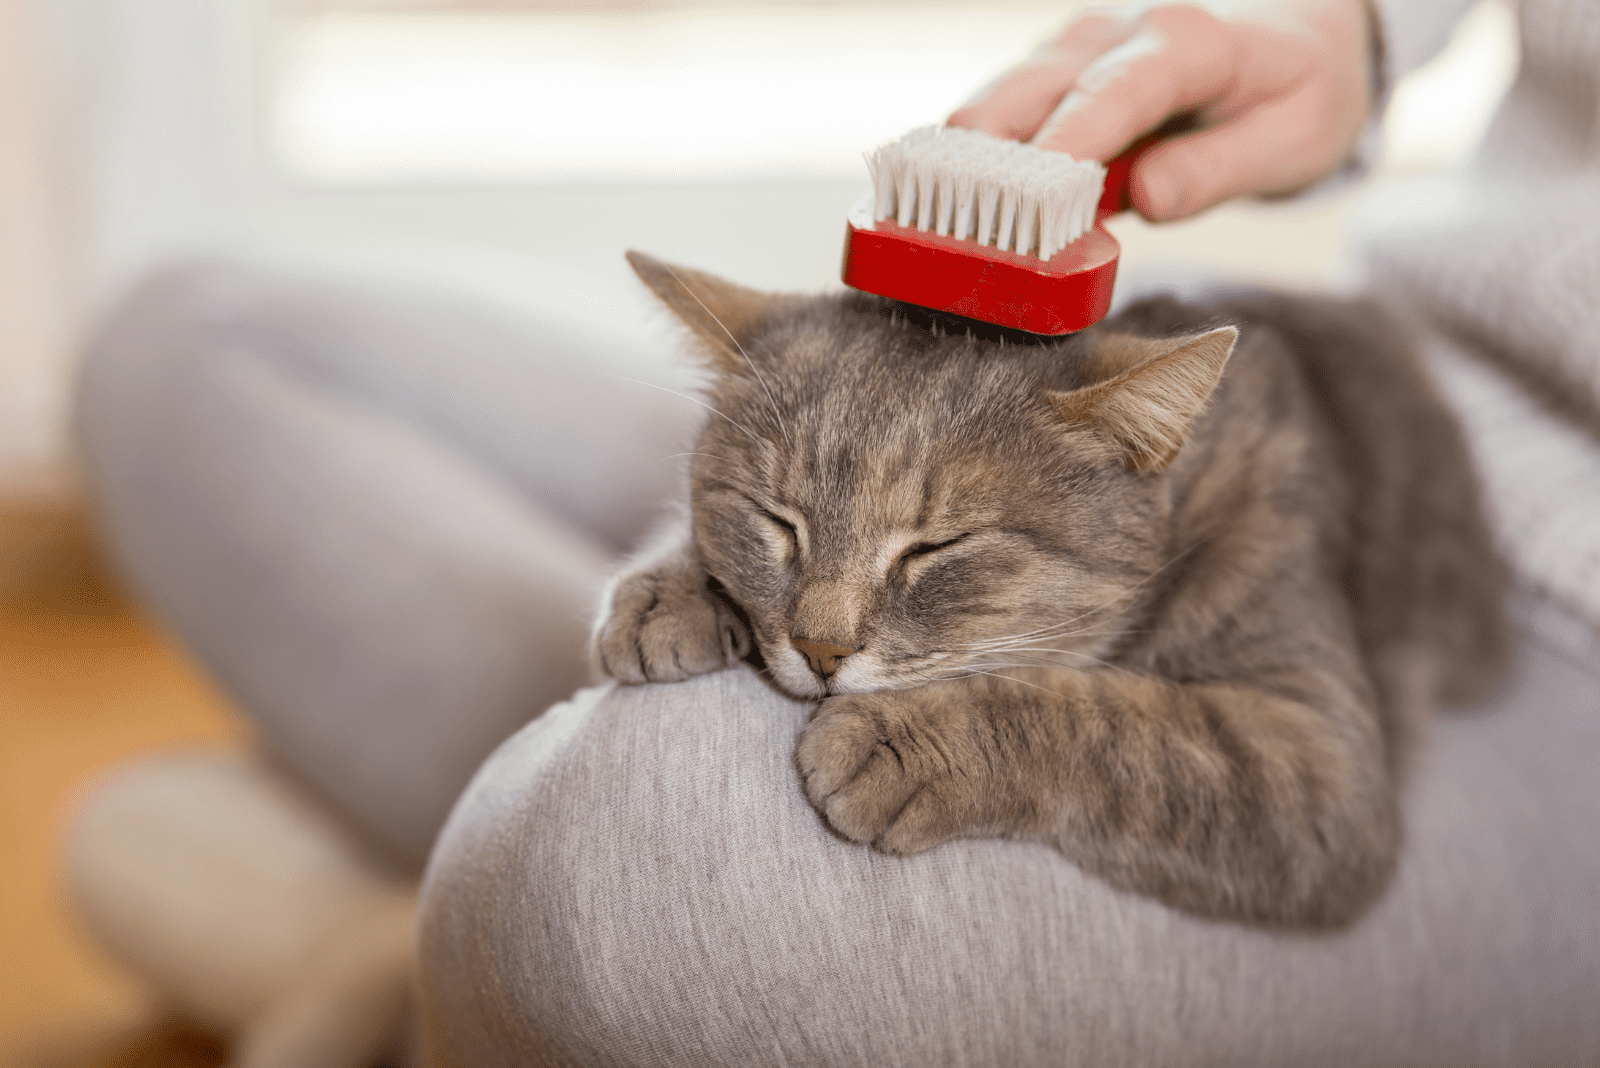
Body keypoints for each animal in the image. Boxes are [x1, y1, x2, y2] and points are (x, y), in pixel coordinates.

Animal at [595, 251, 1504, 927]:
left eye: (935, 547)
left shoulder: (1316, 764)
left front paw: (907, 741)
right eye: (777, 521)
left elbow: (1111, 722)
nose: (821, 648)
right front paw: (672, 589)